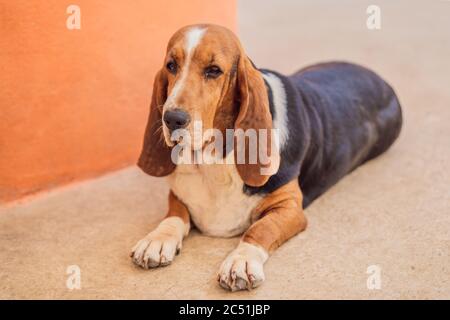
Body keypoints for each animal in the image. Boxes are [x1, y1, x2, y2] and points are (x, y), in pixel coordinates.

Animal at [129, 23, 400, 292]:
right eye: (171, 66)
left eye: (214, 70)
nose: (172, 119)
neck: (214, 157)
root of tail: (379, 79)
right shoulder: (179, 193)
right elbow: (174, 214)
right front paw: (157, 239)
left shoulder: (289, 207)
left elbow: (260, 229)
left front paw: (242, 261)